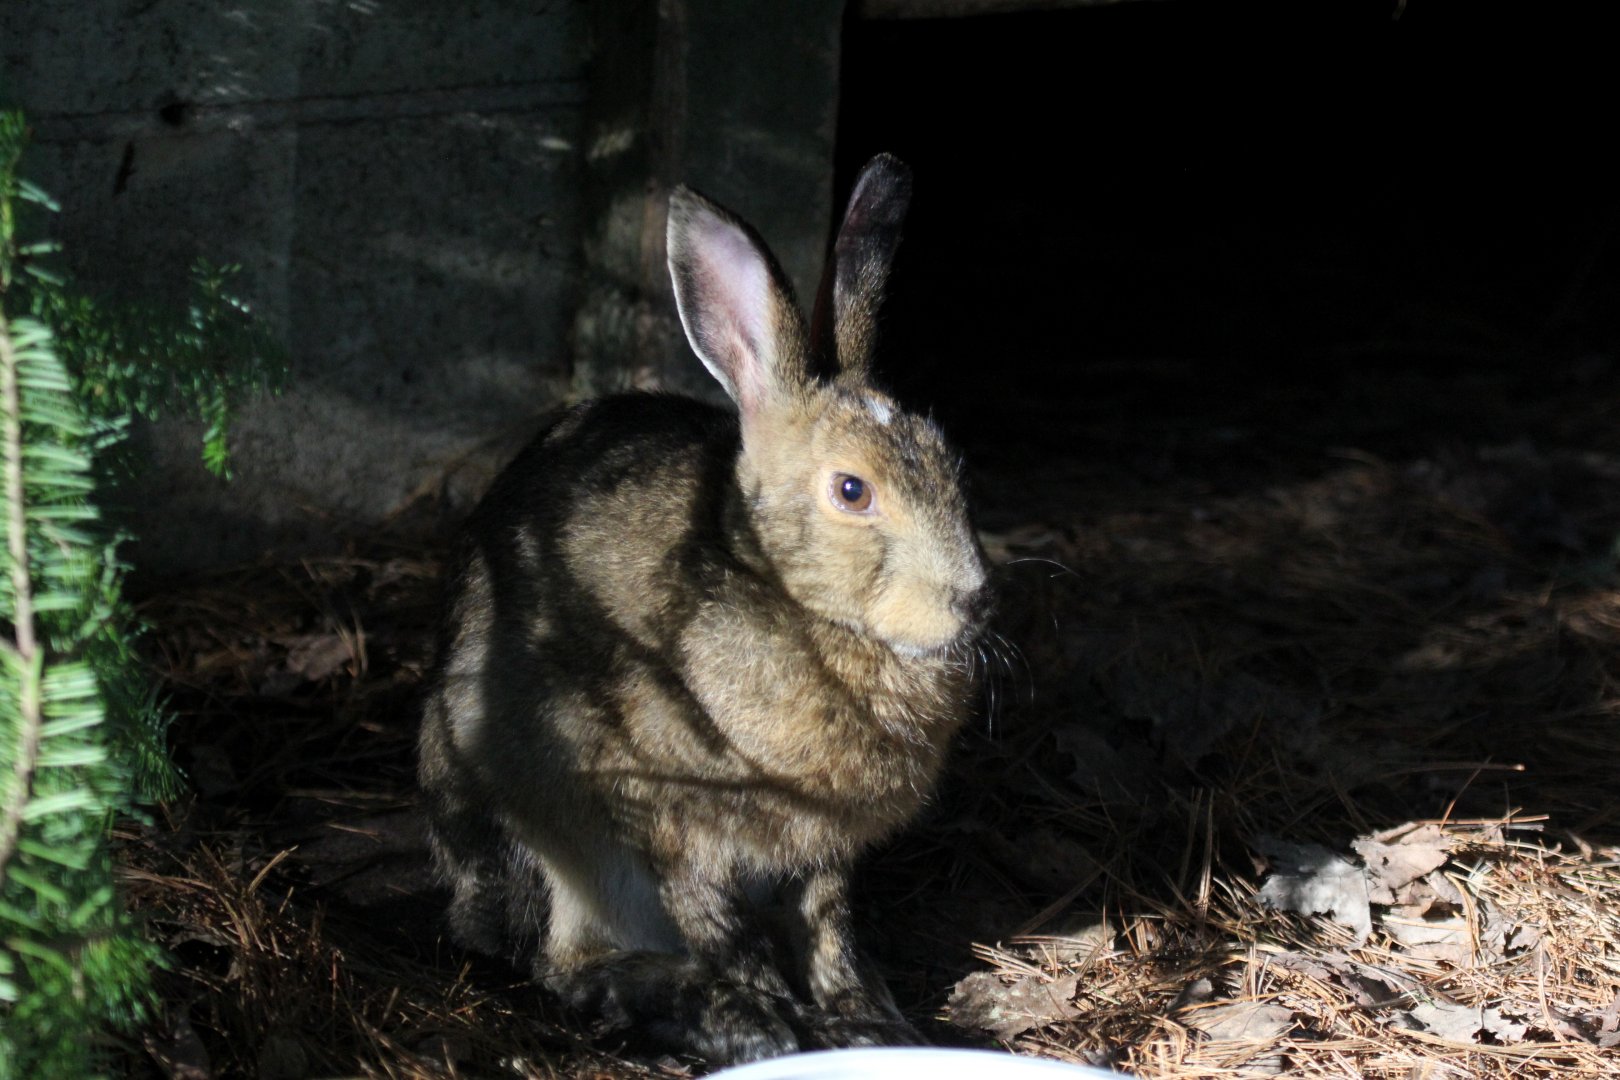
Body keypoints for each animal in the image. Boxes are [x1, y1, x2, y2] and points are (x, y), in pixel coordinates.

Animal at [416, 153, 991, 1065]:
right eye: (852, 491)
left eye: (949, 463)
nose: (970, 598)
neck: (790, 598)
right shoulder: (675, 824)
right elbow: (726, 933)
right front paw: (778, 1030)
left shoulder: (820, 855)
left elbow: (829, 932)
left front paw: (867, 1024)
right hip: (536, 833)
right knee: (564, 964)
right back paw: (707, 1015)